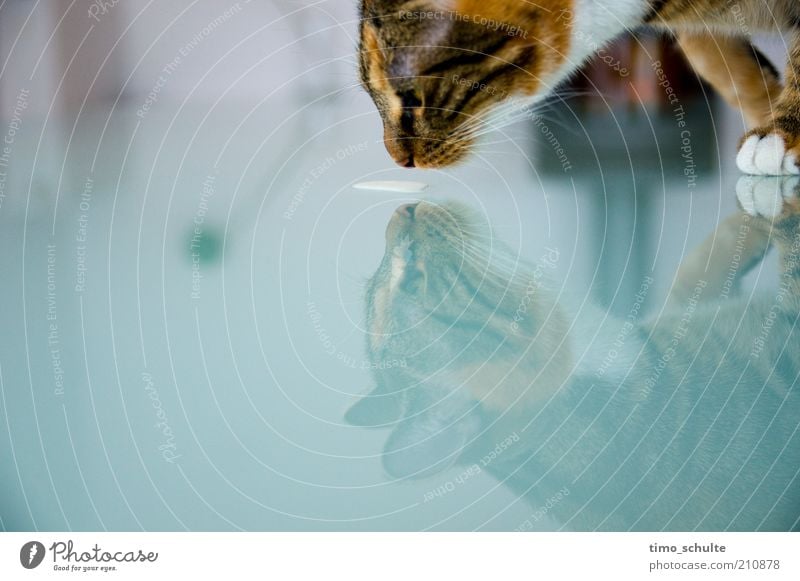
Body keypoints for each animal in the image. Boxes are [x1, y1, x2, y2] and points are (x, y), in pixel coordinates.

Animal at [346, 181, 800, 532]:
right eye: (413, 280)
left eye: (384, 279)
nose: (400, 208)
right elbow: (790, 261)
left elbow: (694, 272)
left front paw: (747, 219)